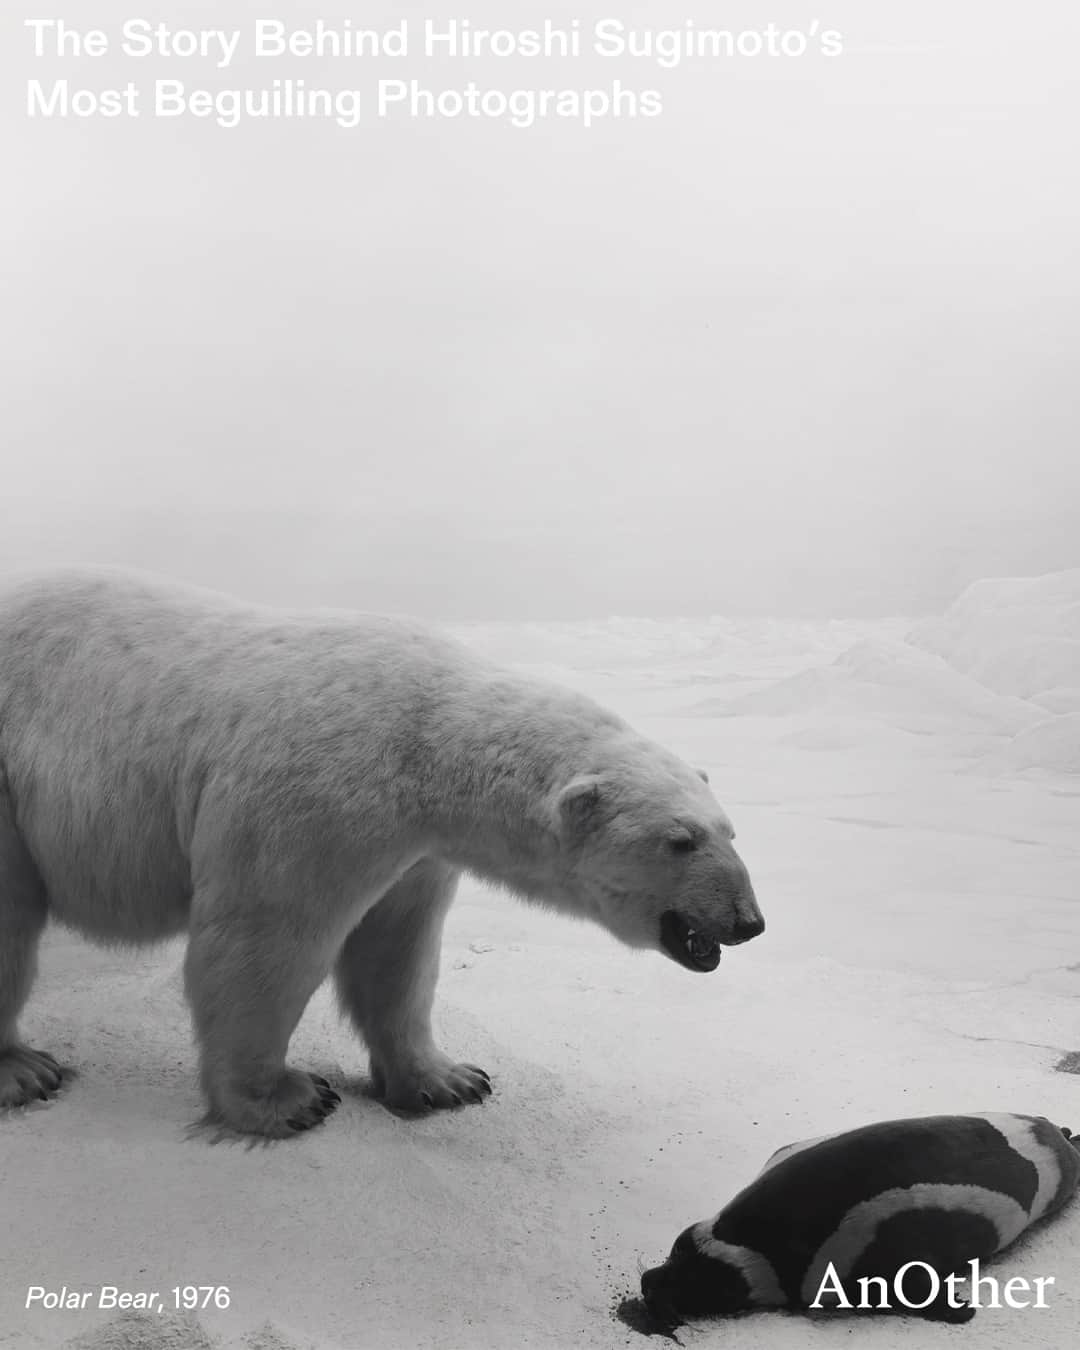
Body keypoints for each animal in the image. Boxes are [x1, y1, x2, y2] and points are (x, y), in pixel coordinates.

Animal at [0, 568, 764, 1136]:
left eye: (729, 831)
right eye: (680, 841)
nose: (748, 921)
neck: (429, 738)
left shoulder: (414, 849)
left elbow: (398, 952)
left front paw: (448, 1080)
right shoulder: (315, 793)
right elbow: (264, 939)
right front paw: (287, 1099)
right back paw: (24, 1071)